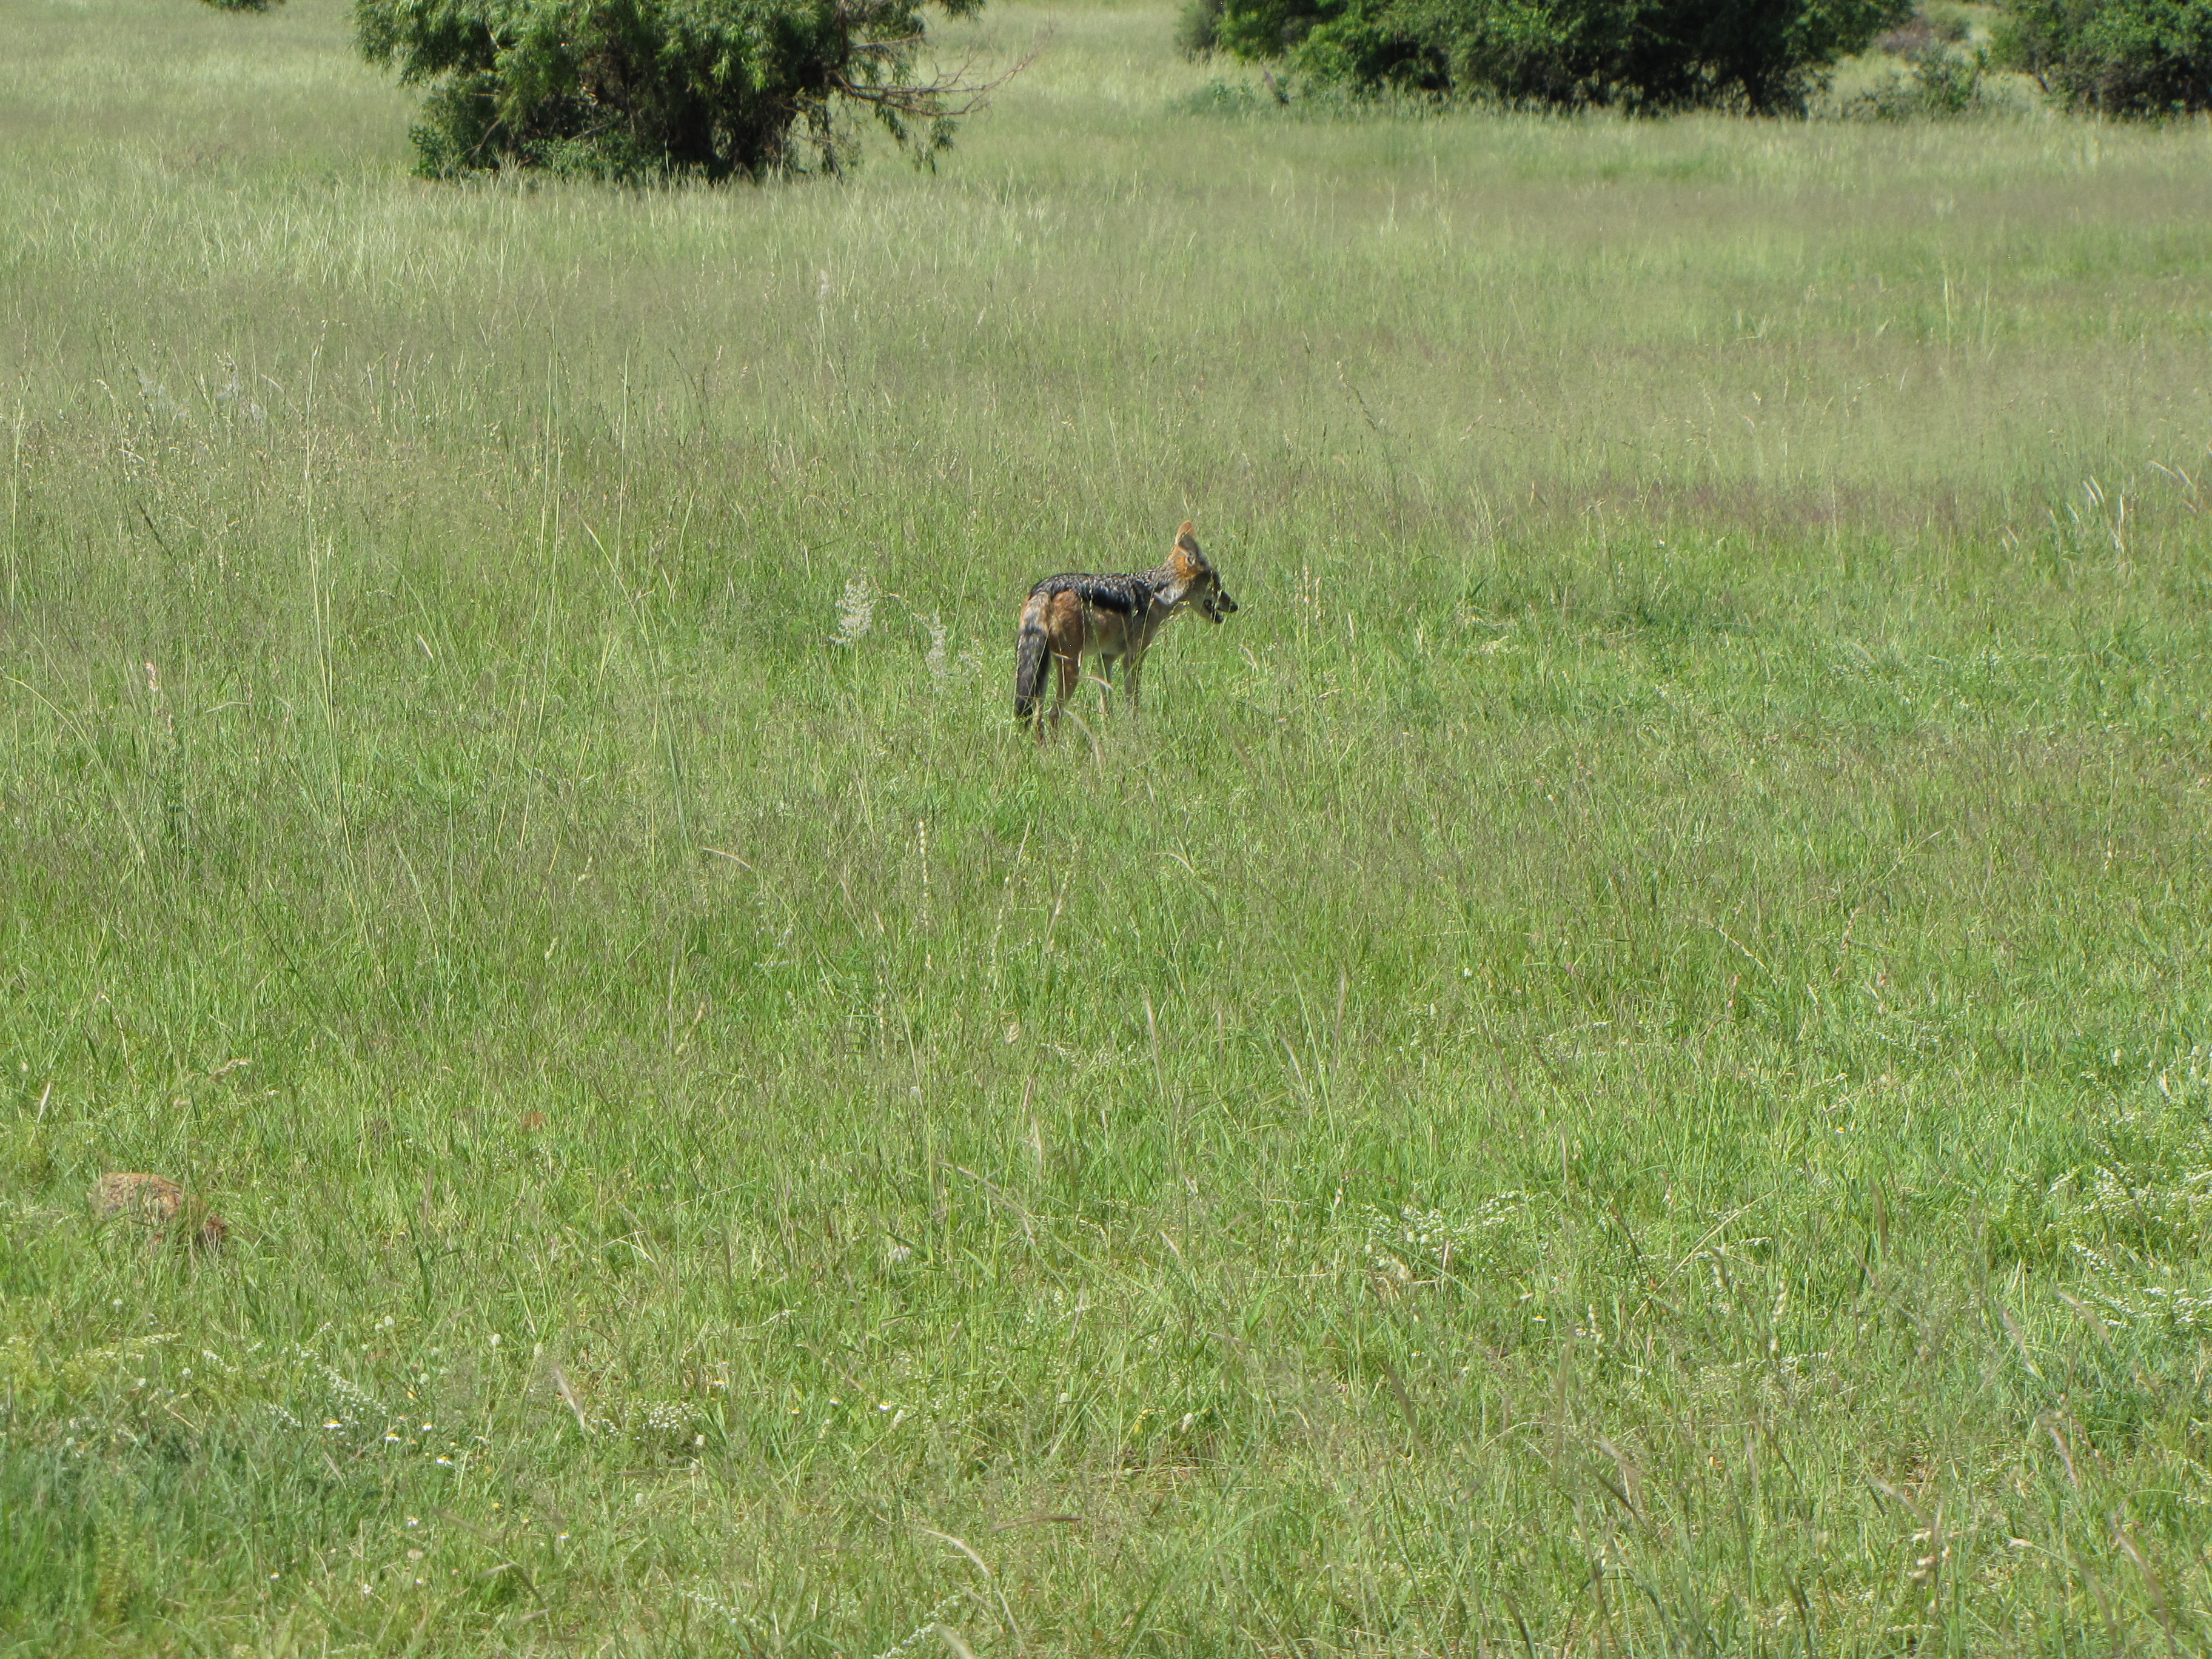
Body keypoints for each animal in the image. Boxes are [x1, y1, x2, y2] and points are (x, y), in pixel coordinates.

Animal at [1013, 521, 1238, 738]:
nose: (1235, 606)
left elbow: (1107, 709)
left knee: (1038, 719)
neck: (1157, 594)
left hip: (1043, 672)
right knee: (1053, 715)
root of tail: (1045, 588)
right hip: (1071, 669)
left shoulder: (1105, 659)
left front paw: (1109, 736)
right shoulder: (1133, 658)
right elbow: (1133, 703)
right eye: (1216, 582)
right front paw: (1134, 733)